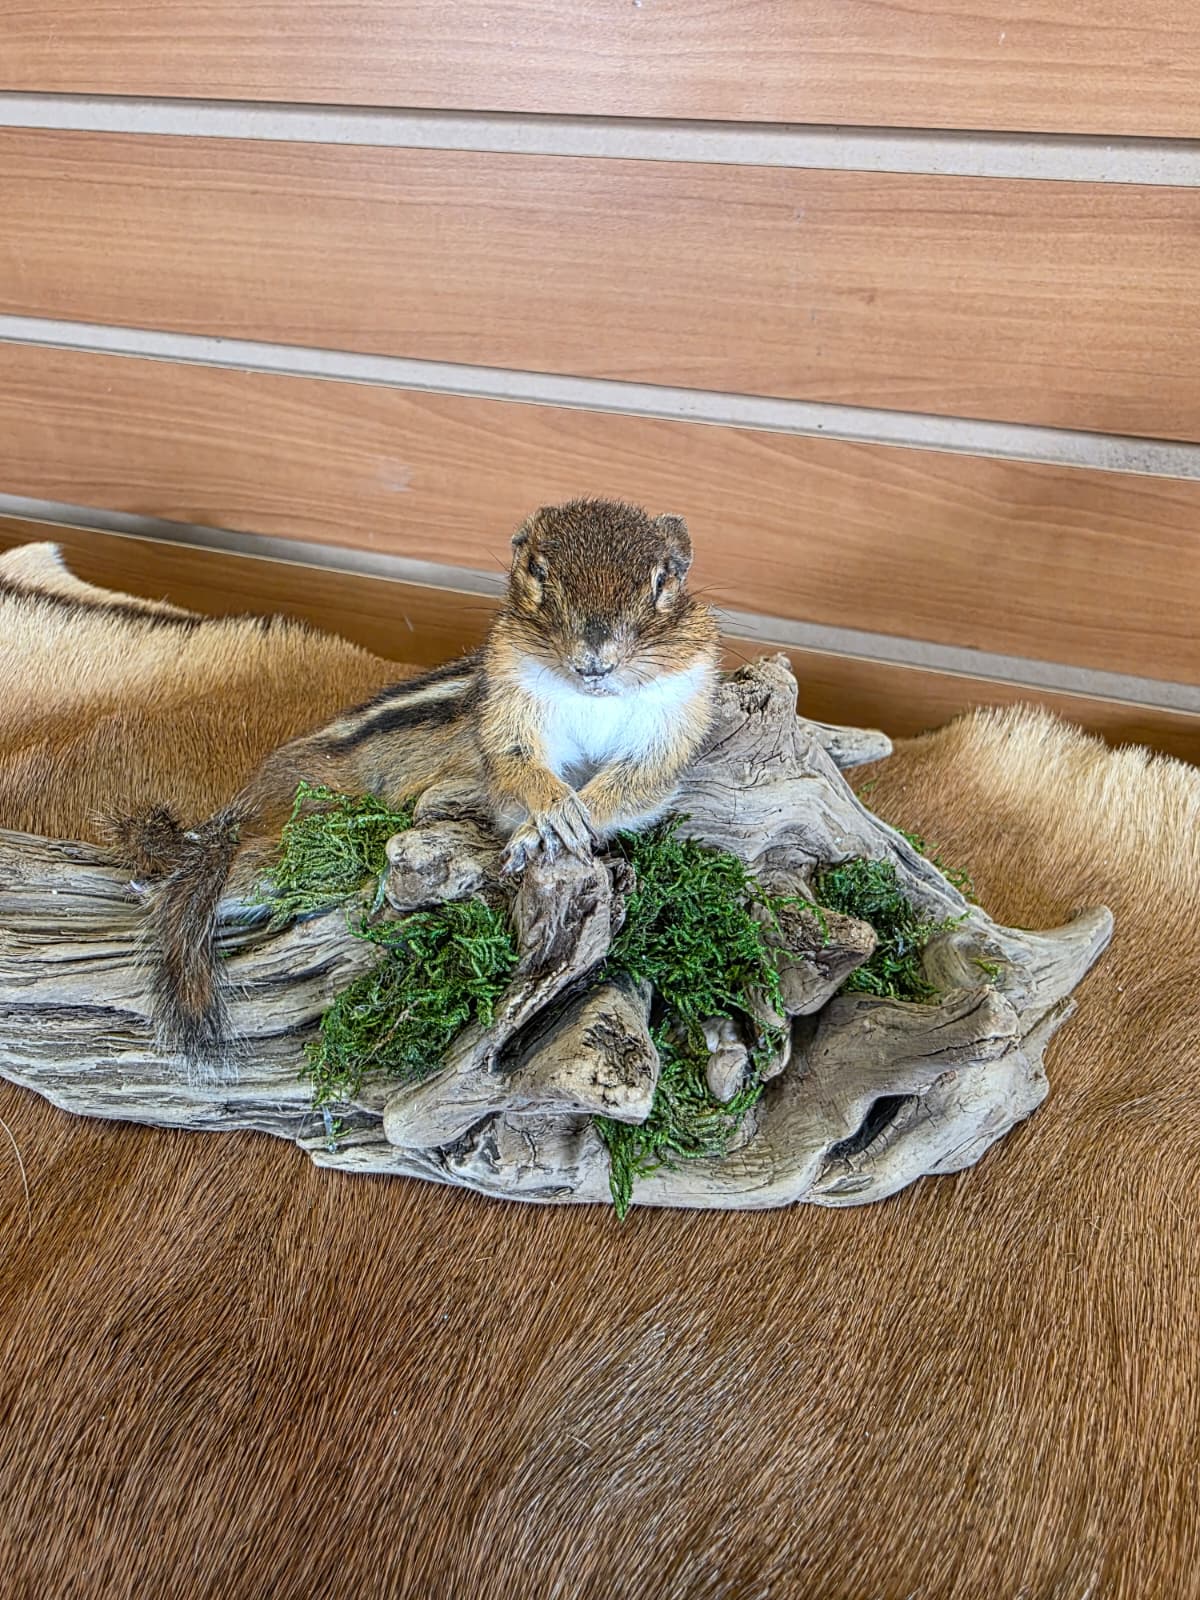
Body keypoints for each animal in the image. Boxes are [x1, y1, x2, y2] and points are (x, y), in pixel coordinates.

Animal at [117, 498, 721, 1065]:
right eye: (538, 571)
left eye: (662, 581)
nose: (595, 660)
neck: (593, 698)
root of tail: (254, 794)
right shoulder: (507, 714)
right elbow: (516, 768)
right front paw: (550, 812)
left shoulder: (670, 730)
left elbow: (633, 785)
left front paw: (562, 822)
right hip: (289, 842)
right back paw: (158, 884)